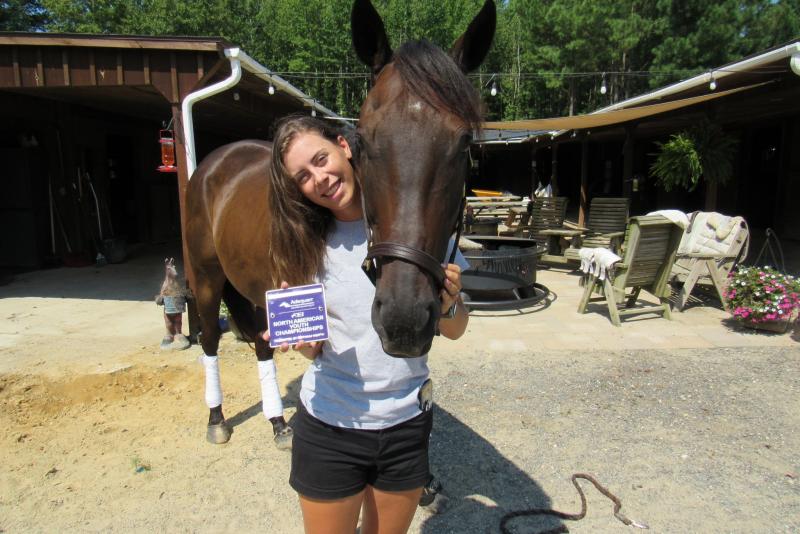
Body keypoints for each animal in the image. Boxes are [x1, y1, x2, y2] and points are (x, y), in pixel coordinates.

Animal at [185, 0, 496, 445]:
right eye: (362, 139)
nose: (403, 321)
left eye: (465, 141)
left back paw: (278, 421)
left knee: (262, 344)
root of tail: (216, 161)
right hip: (205, 277)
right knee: (210, 339)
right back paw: (217, 419)